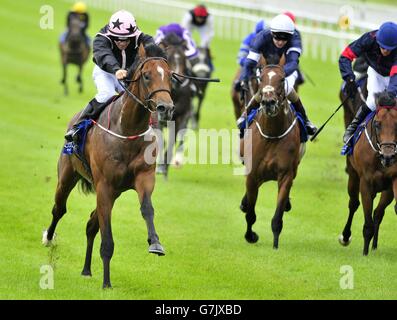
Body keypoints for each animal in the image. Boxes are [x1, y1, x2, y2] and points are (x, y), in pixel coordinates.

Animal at [42, 43, 174, 288]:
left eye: (170, 75)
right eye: (147, 75)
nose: (165, 107)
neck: (128, 130)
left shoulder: (143, 177)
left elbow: (147, 209)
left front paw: (155, 243)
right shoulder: (104, 185)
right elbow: (108, 239)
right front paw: (106, 283)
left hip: (113, 193)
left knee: (91, 224)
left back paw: (86, 269)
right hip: (68, 175)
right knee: (59, 209)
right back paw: (48, 238)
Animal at [338, 92, 396, 255]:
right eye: (377, 124)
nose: (389, 156)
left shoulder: (394, 180)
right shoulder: (366, 182)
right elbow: (367, 224)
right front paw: (364, 254)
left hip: (387, 191)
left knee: (378, 213)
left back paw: (374, 246)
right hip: (353, 176)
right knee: (353, 204)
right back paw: (346, 236)